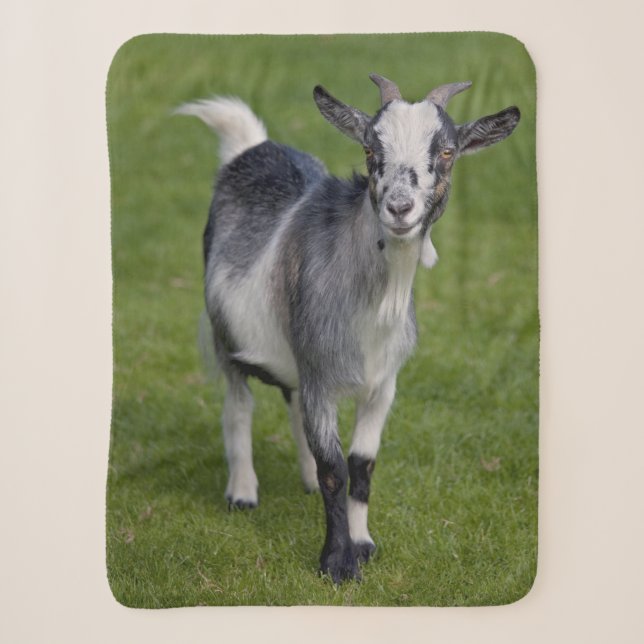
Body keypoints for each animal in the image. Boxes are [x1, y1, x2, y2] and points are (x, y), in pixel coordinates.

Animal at [177, 74, 520, 583]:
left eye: (446, 151)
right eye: (369, 149)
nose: (400, 207)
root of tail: (253, 147)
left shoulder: (382, 384)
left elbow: (361, 467)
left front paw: (362, 544)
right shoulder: (321, 375)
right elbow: (334, 469)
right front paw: (337, 564)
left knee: (292, 404)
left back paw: (301, 480)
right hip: (228, 337)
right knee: (239, 404)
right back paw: (242, 491)